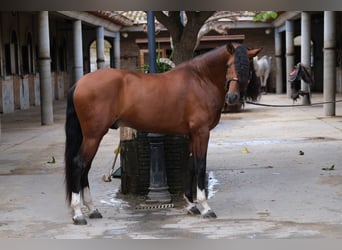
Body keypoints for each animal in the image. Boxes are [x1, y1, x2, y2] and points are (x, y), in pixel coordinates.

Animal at [65, 41, 262, 225]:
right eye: (229, 65)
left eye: (247, 68)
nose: (233, 97)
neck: (201, 80)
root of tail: (79, 83)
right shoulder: (202, 133)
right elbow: (200, 166)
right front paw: (205, 207)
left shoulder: (192, 135)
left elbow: (190, 166)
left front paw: (191, 205)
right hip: (94, 135)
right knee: (79, 164)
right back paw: (78, 214)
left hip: (90, 136)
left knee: (85, 167)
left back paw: (92, 209)